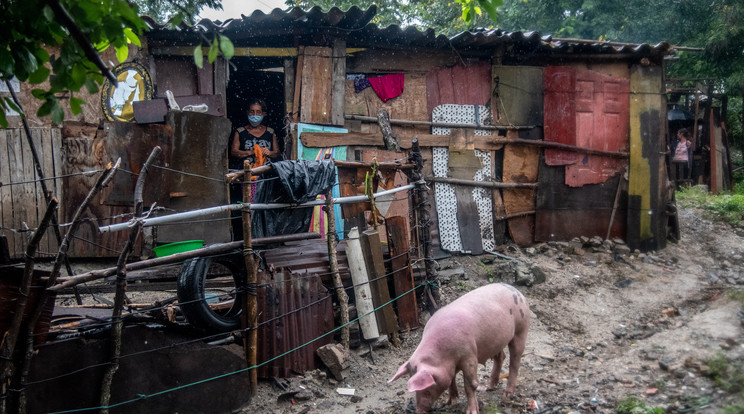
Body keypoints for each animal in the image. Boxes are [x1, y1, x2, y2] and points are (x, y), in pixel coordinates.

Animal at [390, 284, 528, 412]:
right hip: (495, 341)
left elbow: (470, 385)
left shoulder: (469, 356)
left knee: (515, 361)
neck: (445, 356)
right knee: (501, 357)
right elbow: (451, 380)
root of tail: (516, 290)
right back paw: (487, 387)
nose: (418, 410)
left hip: (521, 329)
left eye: (427, 388)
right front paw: (451, 403)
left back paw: (507, 394)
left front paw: (471, 411)